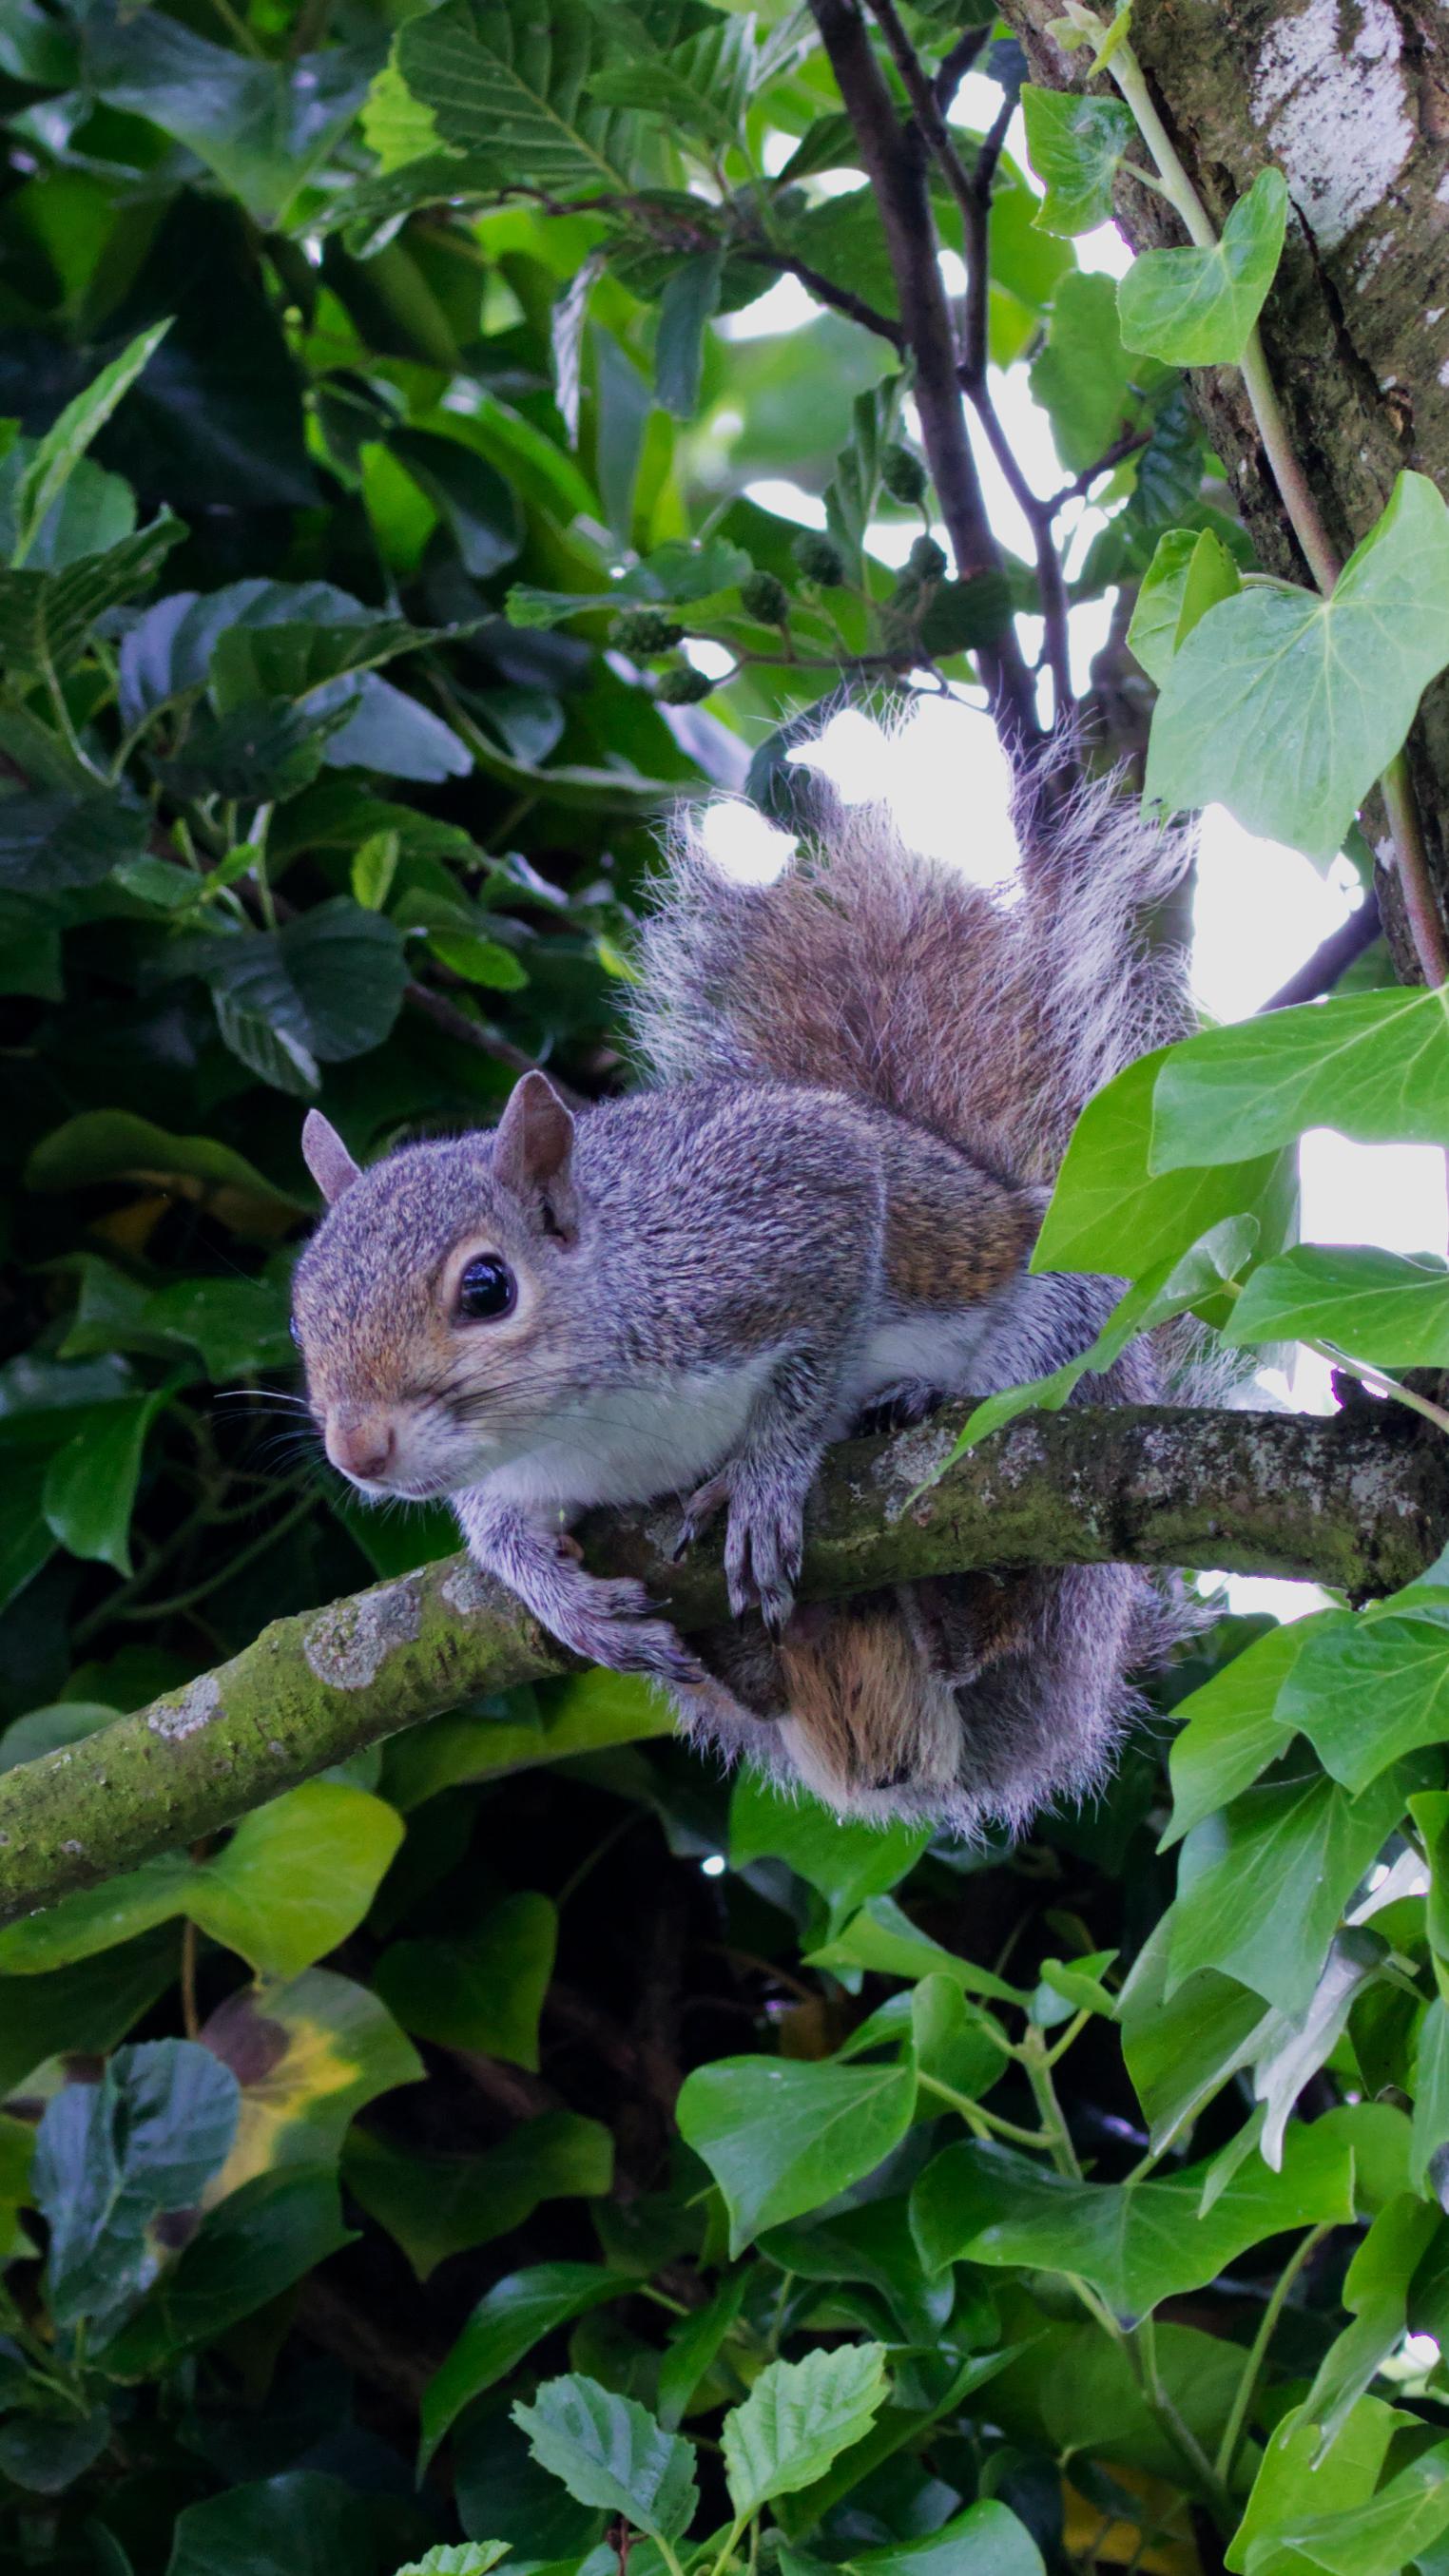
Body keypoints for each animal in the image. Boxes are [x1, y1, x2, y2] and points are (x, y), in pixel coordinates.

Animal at [287, 752, 1190, 1844]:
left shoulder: (770, 1220)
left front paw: (763, 1476)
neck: (582, 1423)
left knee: (1003, 1596)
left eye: (488, 1289)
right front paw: (550, 1589)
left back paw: (936, 1490)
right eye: (300, 1309)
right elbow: (496, 1527)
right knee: (760, 1688)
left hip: (1064, 1352)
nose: (358, 1449)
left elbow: (818, 1345)